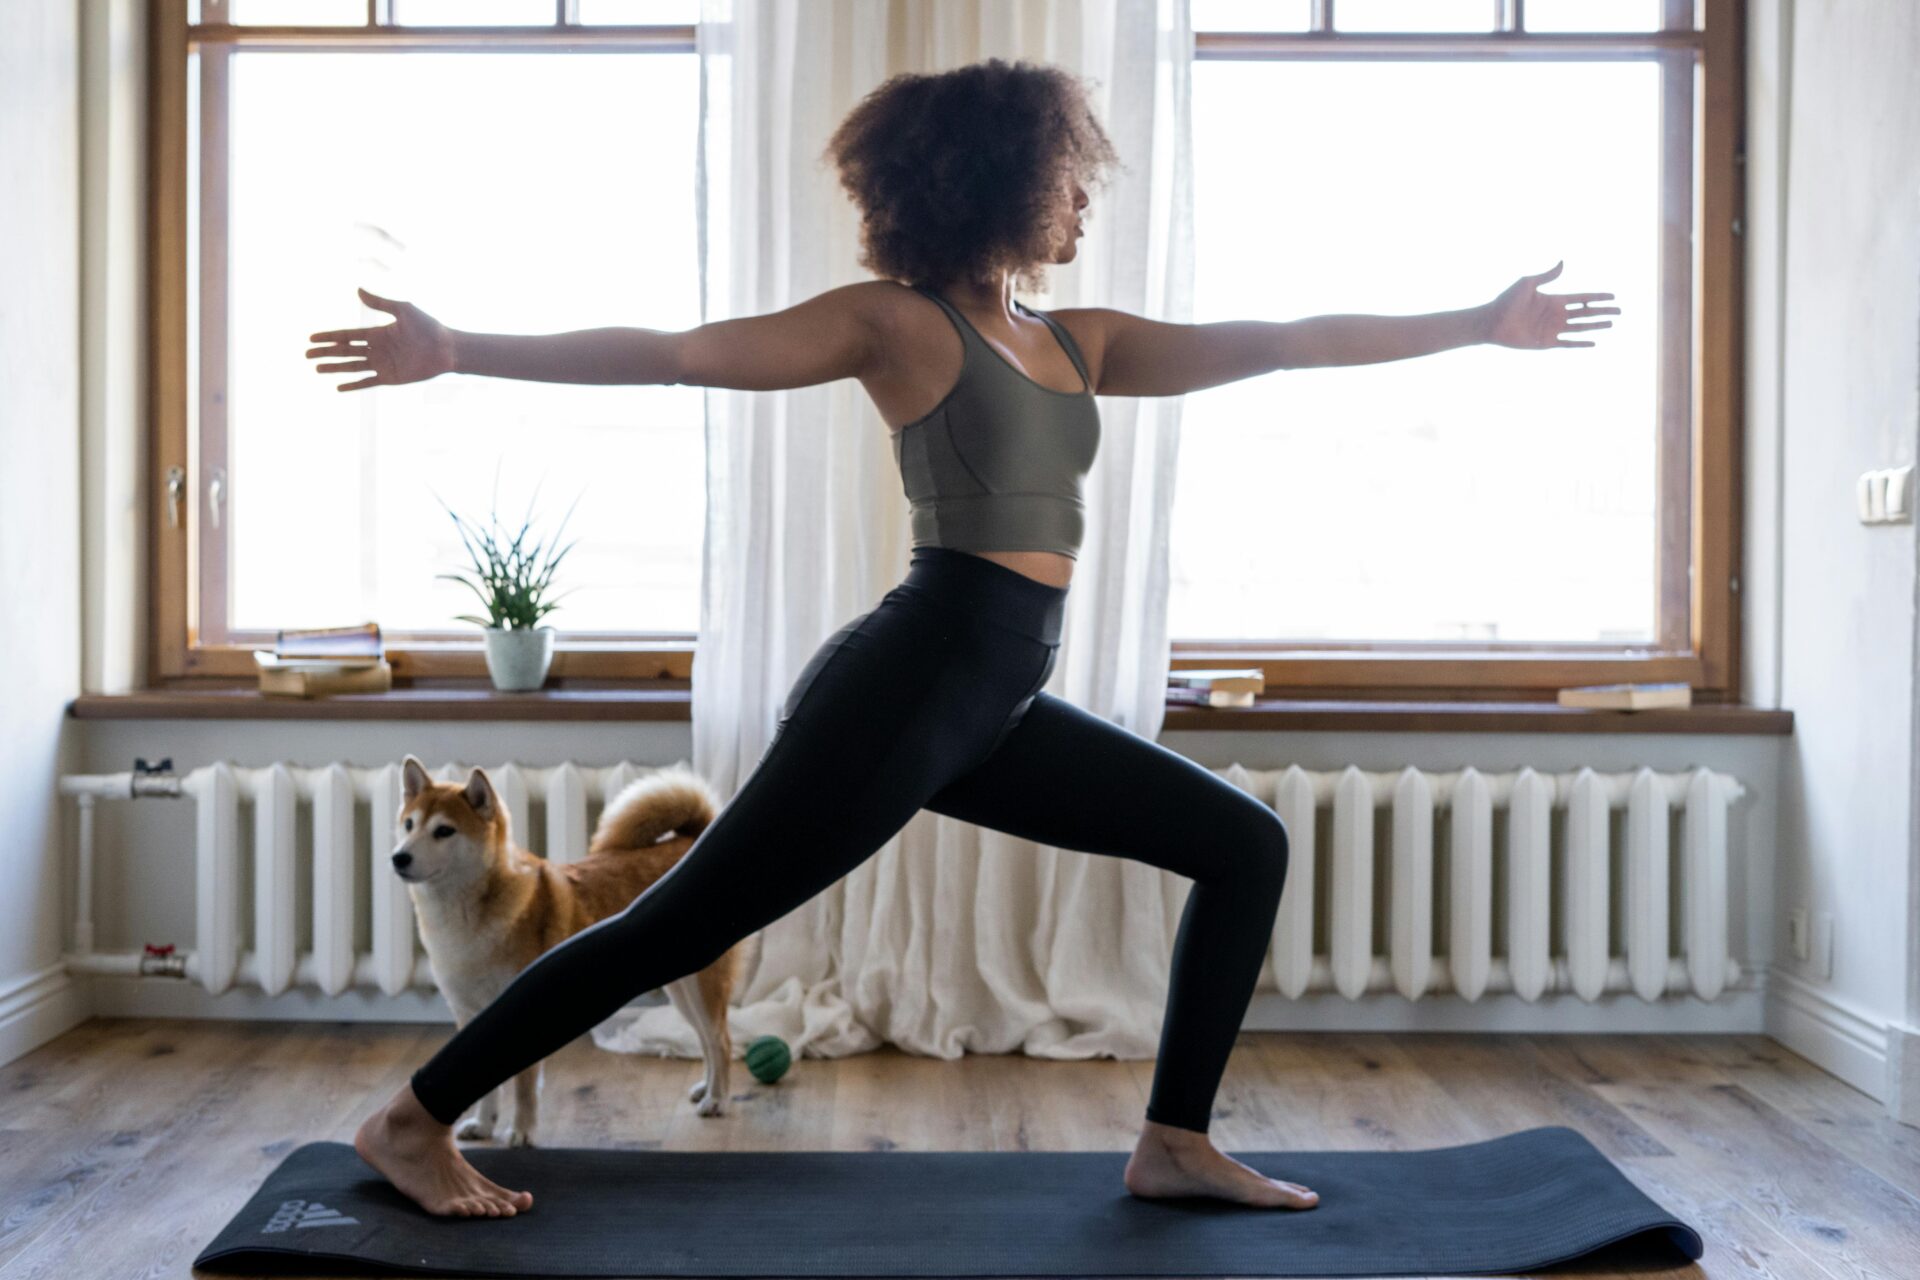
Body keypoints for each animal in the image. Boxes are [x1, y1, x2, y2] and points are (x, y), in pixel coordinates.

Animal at [391, 759, 756, 1151]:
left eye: (444, 831)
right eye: (409, 824)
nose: (399, 857)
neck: (464, 924)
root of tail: (694, 839)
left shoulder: (520, 1009)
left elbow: (523, 1088)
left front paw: (521, 1132)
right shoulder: (470, 1015)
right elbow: (483, 1083)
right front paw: (483, 1125)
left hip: (702, 986)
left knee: (720, 1040)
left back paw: (717, 1099)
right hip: (681, 988)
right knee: (705, 1039)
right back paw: (706, 1088)